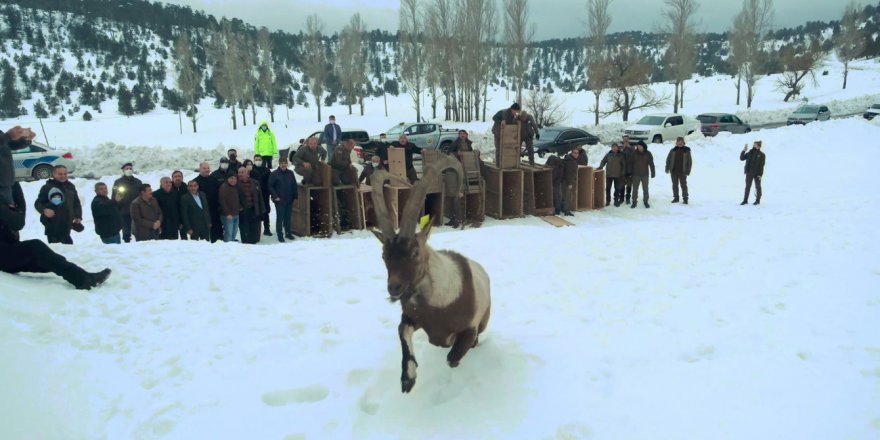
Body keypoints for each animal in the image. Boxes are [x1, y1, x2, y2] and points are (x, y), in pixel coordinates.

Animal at [372, 157, 492, 392]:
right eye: (383, 255)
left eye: (415, 252)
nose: (394, 288)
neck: (439, 302)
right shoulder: (412, 317)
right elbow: (402, 330)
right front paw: (408, 378)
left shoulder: (468, 329)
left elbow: (452, 358)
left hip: (484, 319)